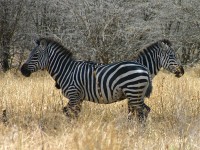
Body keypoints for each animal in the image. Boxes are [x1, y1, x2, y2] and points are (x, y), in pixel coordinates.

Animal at [21, 37, 152, 122]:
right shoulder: (78, 98)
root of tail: (144, 68)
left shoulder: (73, 95)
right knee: (145, 110)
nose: (22, 70)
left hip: (133, 92)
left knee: (143, 111)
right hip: (137, 94)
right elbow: (74, 114)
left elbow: (68, 113)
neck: (66, 71)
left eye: (35, 55)